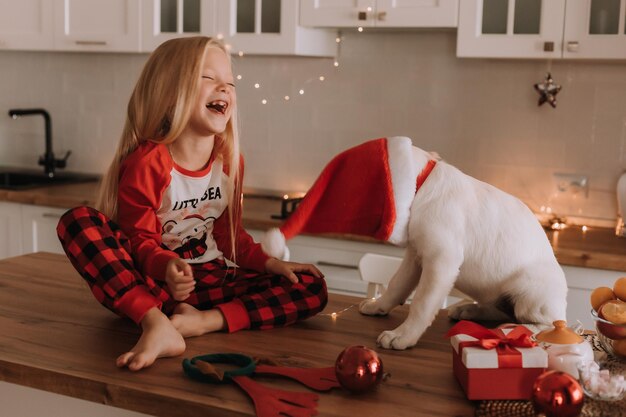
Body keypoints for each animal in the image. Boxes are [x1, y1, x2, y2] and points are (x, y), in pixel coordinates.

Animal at [258, 136, 564, 348]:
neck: (423, 185)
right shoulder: (415, 255)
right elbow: (396, 285)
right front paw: (379, 306)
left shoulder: (440, 261)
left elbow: (421, 304)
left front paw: (403, 336)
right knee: (499, 307)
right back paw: (469, 309)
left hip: (530, 293)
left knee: (545, 322)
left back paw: (521, 329)